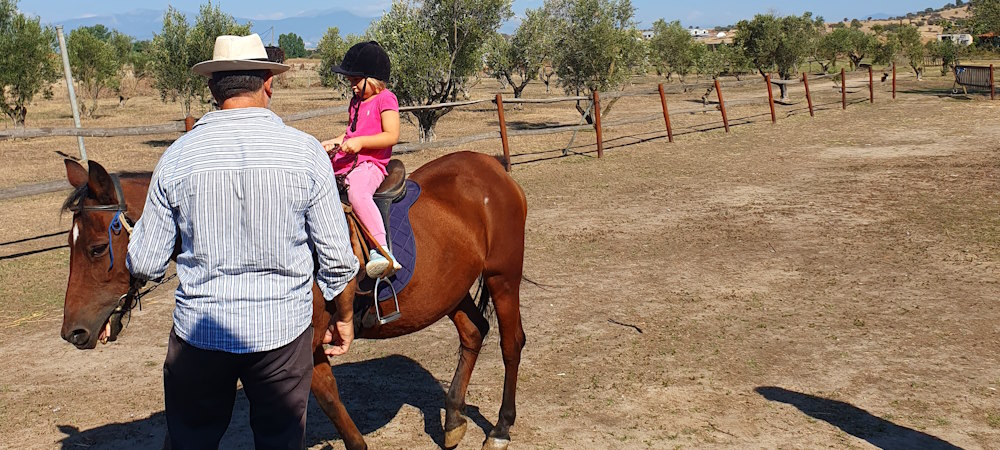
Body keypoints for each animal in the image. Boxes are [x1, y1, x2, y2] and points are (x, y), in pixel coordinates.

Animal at [60, 152, 532, 450]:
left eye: (97, 249)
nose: (73, 332)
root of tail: (492, 166)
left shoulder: (301, 343)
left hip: (503, 278)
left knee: (511, 343)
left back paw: (501, 428)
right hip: (452, 291)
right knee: (474, 333)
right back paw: (452, 420)